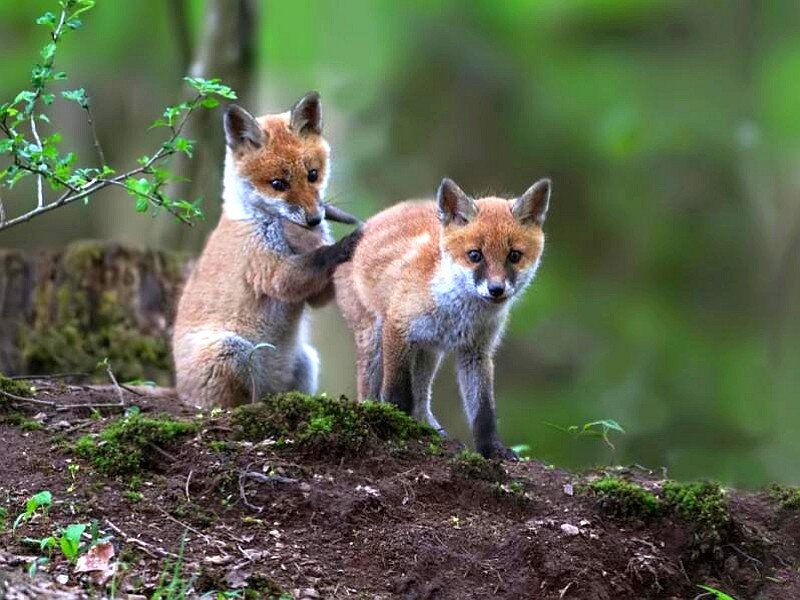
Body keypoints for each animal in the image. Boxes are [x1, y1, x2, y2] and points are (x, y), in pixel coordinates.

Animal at [173, 92, 362, 408]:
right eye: (278, 184)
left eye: (313, 175)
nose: (315, 219)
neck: (261, 221)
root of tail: (179, 391)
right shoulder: (267, 270)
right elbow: (312, 261)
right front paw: (347, 242)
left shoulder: (314, 294)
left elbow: (319, 287)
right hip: (231, 351)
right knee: (233, 403)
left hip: (307, 361)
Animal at [335, 177, 551, 458]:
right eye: (475, 255)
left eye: (514, 256)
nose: (496, 289)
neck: (457, 314)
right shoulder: (397, 327)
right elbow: (396, 393)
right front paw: (395, 427)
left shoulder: (476, 352)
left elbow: (484, 411)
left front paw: (492, 449)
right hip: (374, 340)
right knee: (372, 392)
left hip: (428, 353)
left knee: (422, 400)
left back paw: (431, 431)